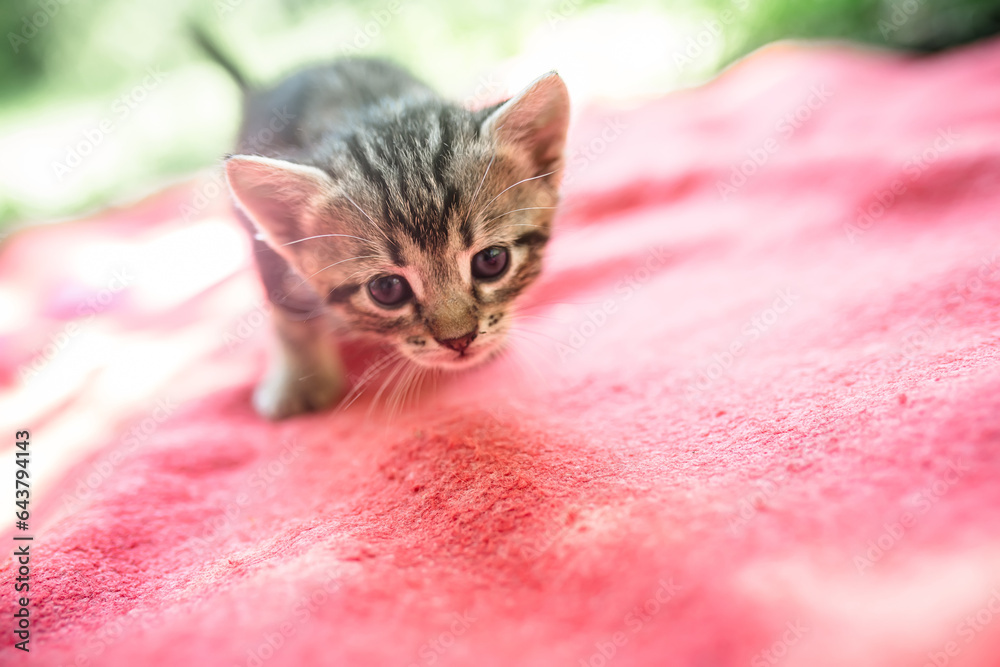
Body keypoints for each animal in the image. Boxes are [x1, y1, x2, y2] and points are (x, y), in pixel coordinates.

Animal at [211, 51, 572, 418]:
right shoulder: (268, 254)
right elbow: (290, 315)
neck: (375, 109)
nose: (459, 340)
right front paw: (301, 380)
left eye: (491, 260)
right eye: (386, 289)